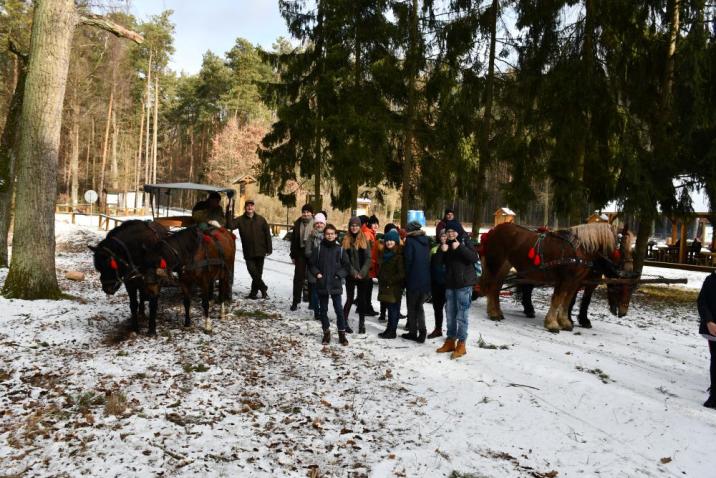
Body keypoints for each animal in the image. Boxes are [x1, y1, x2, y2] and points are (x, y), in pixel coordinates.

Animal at [482, 221, 628, 330]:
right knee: (492, 287)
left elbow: (567, 300)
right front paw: (552, 323)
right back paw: (493, 313)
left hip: (505, 266)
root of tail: (494, 229)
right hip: (496, 263)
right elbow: (558, 299)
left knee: (496, 288)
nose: (622, 271)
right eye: (622, 248)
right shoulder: (565, 279)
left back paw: (497, 312)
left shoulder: (575, 282)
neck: (579, 249)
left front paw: (565, 322)